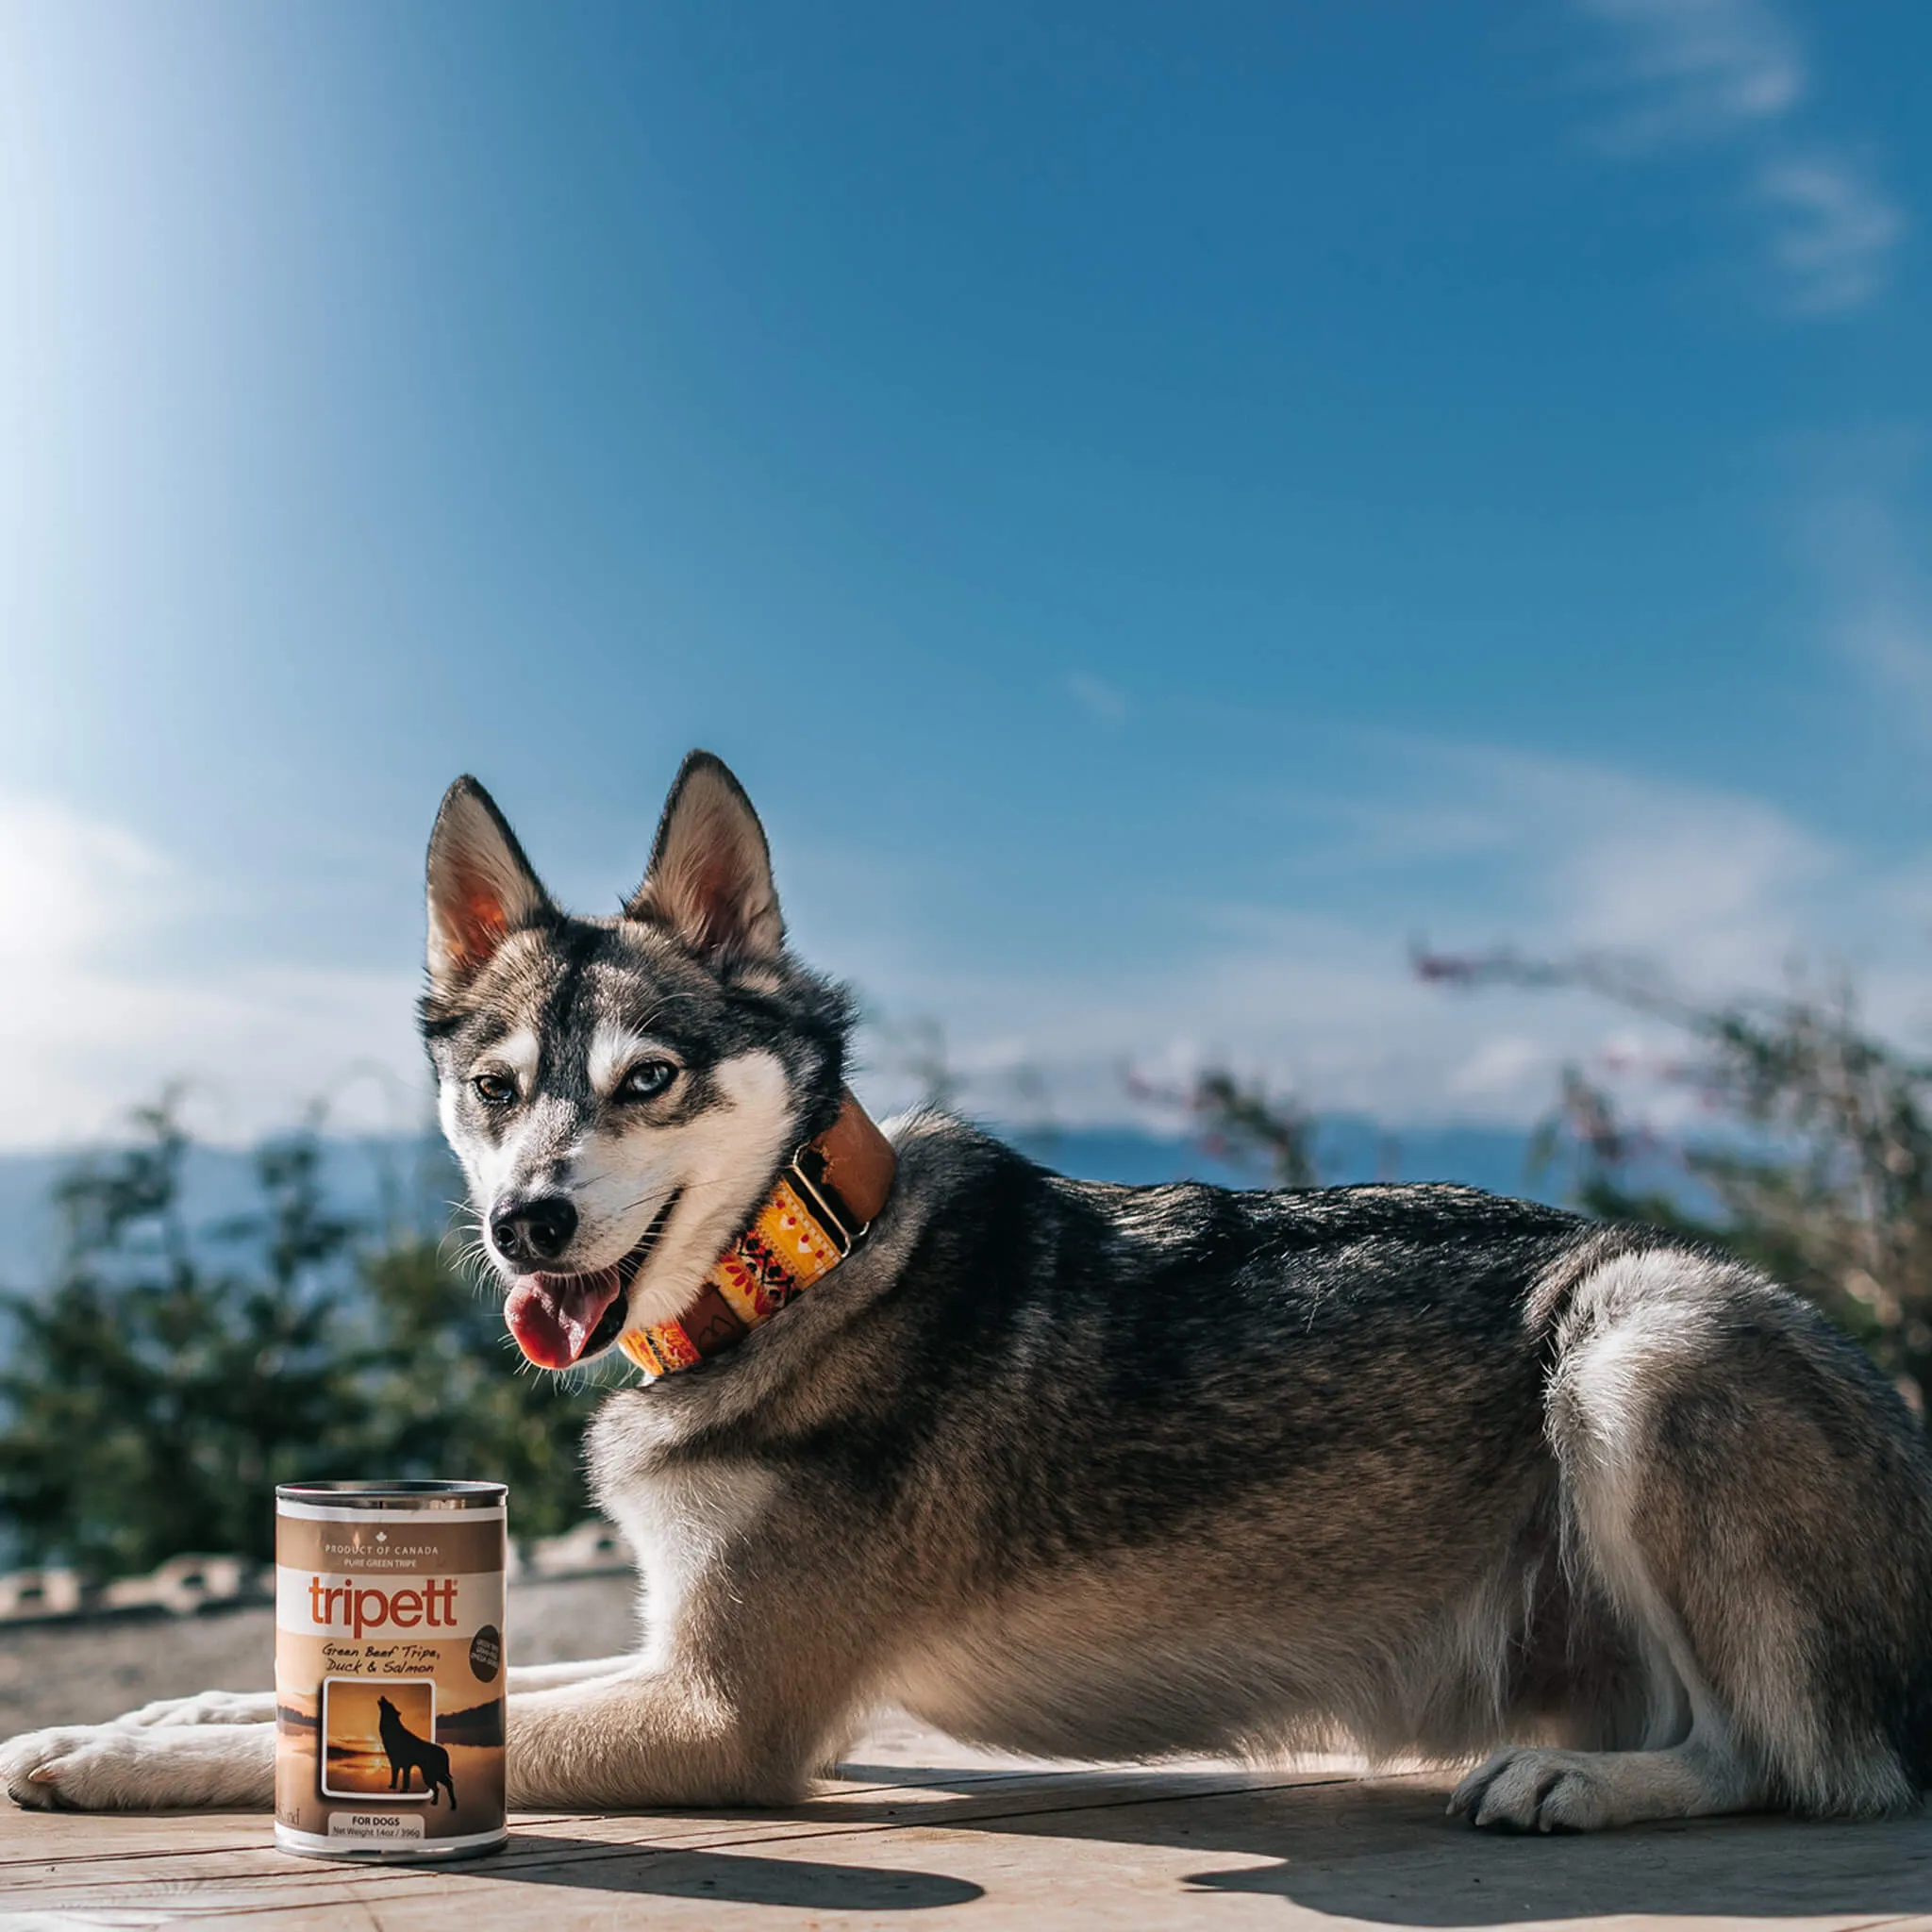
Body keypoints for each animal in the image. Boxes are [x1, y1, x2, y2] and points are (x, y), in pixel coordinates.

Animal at [4, 749, 1932, 1824]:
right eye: (493, 1091)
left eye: (646, 1081)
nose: (531, 1226)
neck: (802, 1272)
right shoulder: (661, 1644)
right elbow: (303, 1692)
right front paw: (129, 1714)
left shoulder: (722, 1712)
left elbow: (339, 1735)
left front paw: (115, 1757)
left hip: (1640, 1335)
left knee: (1803, 1759)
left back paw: (1580, 1783)